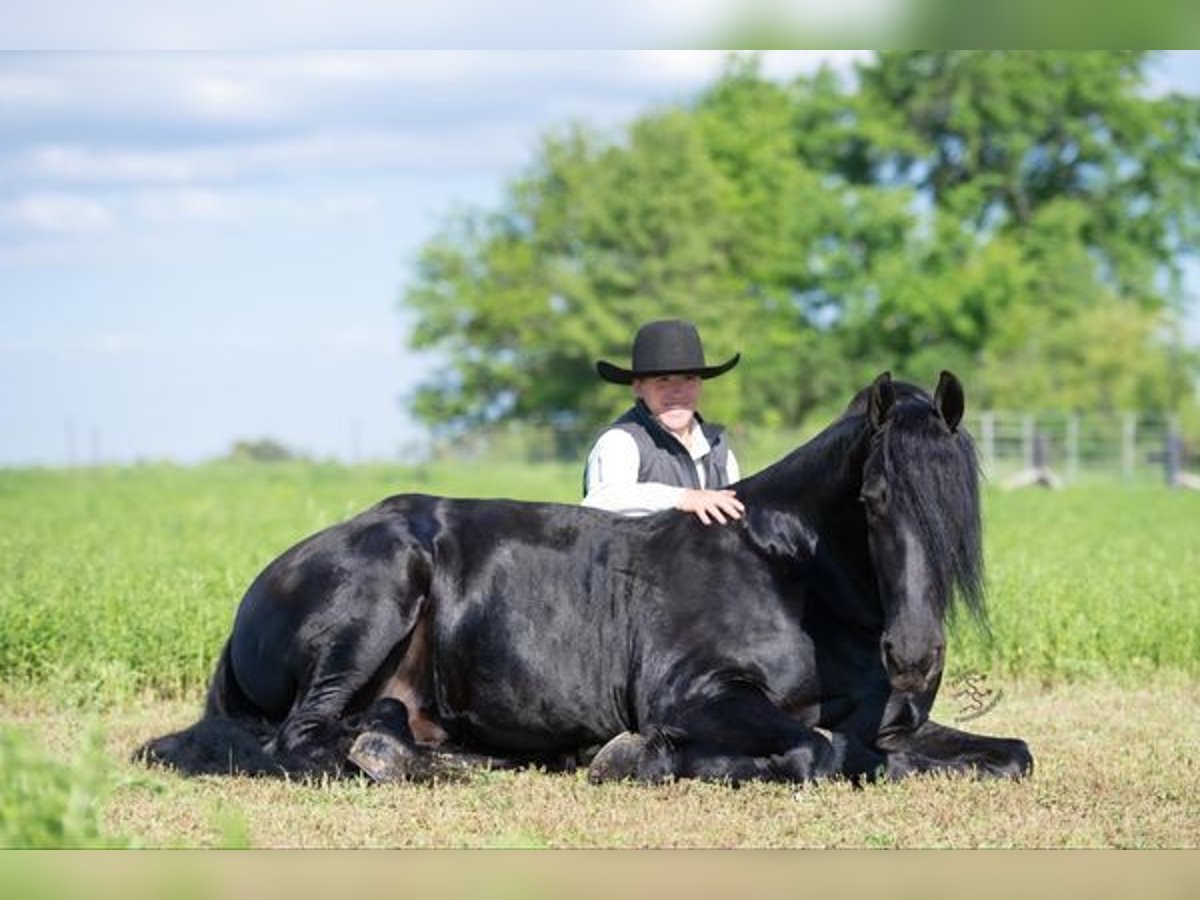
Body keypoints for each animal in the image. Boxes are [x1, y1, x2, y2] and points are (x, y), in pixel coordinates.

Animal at [133, 369, 1032, 787]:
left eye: (964, 502)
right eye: (874, 500)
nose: (913, 655)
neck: (788, 579)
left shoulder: (897, 726)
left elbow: (1010, 753)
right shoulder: (698, 696)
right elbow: (817, 752)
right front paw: (636, 756)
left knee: (371, 732)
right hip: (373, 601)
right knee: (302, 743)